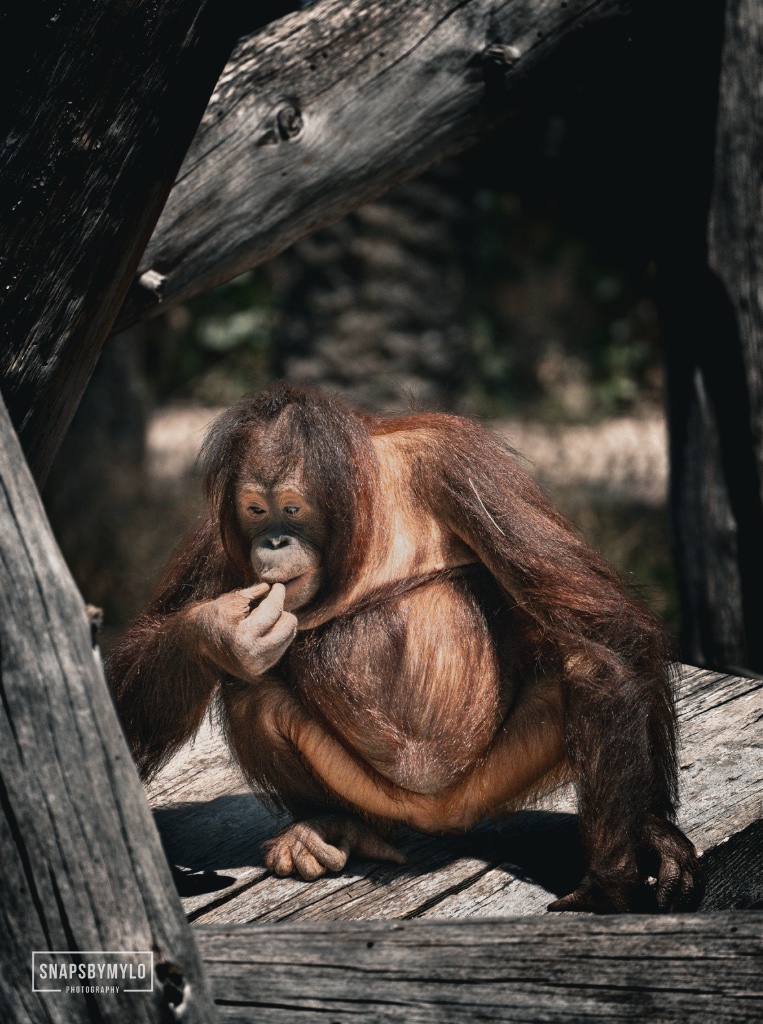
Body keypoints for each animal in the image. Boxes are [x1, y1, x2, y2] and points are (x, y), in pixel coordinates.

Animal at [107, 382, 704, 913]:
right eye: (255, 510)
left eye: (292, 509)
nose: (272, 542)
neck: (363, 523)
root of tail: (439, 818)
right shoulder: (219, 538)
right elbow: (128, 678)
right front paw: (220, 631)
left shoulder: (459, 463)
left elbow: (602, 629)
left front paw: (621, 872)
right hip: (371, 795)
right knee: (249, 692)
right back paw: (329, 825)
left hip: (496, 776)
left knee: (586, 666)